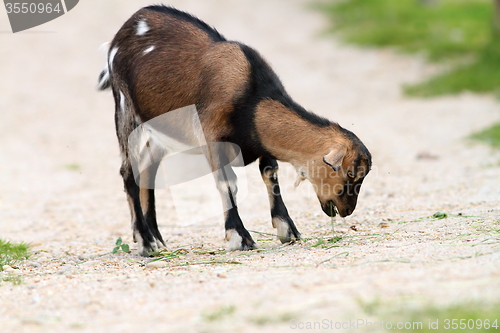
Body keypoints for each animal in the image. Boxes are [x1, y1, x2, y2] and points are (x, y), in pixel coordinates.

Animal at [97, 4, 372, 254]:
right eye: (350, 174)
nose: (346, 211)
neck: (252, 96)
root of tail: (123, 31)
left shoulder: (261, 142)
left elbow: (270, 175)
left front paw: (287, 230)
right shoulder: (212, 136)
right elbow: (227, 183)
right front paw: (240, 238)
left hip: (160, 131)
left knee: (147, 169)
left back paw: (155, 238)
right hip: (126, 110)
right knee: (127, 171)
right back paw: (145, 242)